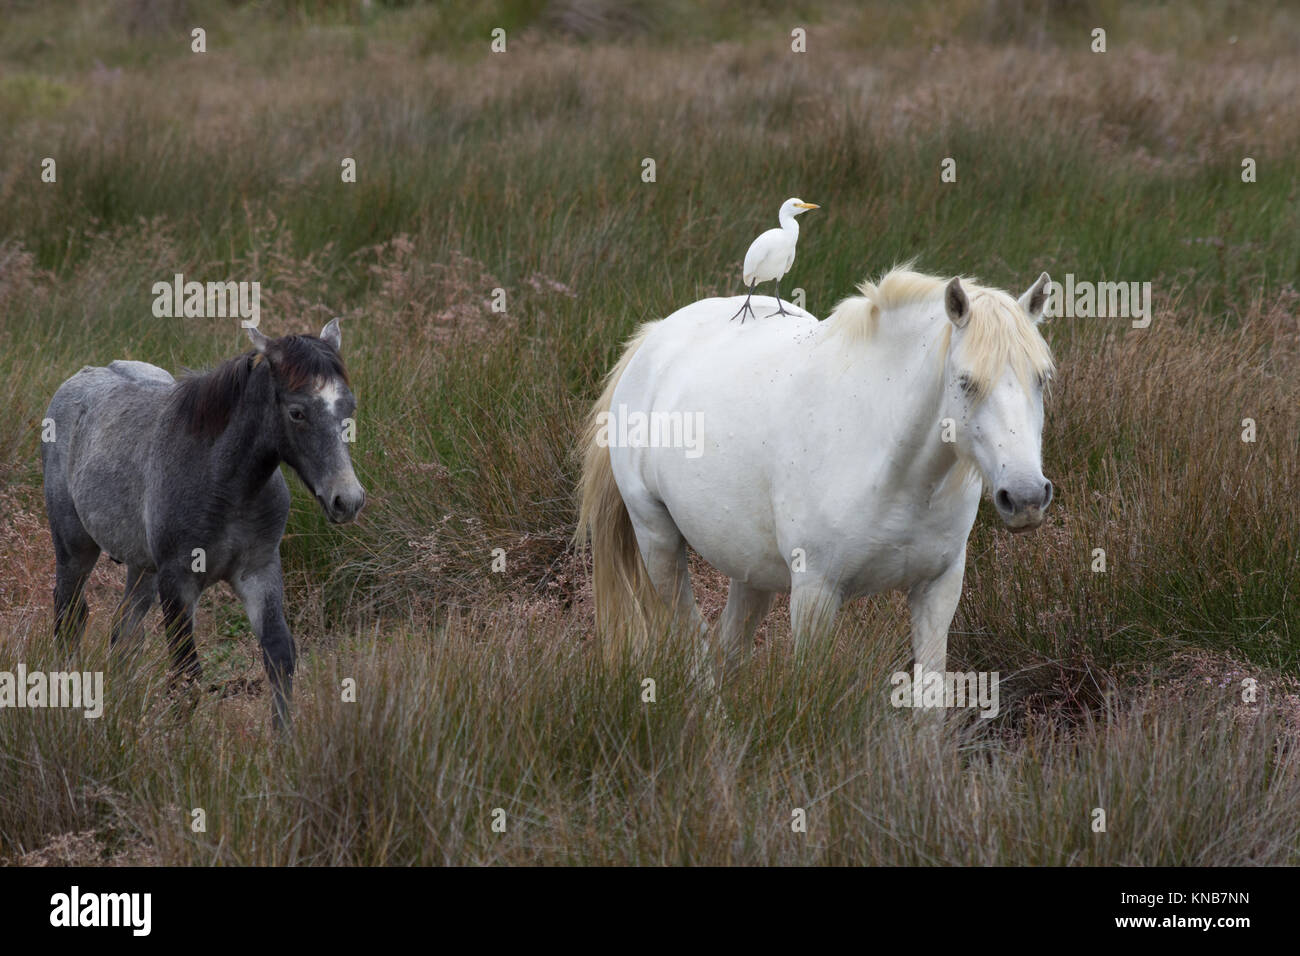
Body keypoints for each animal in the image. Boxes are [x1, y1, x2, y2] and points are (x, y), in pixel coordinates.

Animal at [579, 269, 1055, 681]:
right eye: (965, 381)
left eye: (1042, 379)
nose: (1027, 497)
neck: (897, 471)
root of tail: (654, 339)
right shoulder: (815, 593)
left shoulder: (937, 589)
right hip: (657, 541)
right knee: (692, 640)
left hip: (749, 569)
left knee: (729, 646)